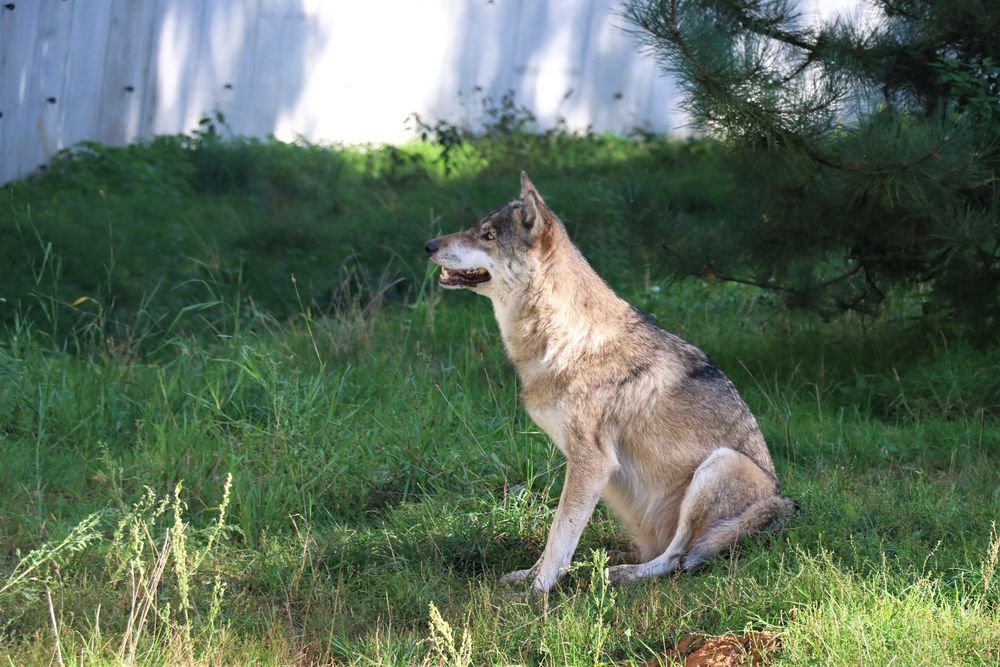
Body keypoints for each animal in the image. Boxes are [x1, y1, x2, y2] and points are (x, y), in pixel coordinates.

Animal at [424, 174, 796, 596]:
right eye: (476, 228)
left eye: (487, 235)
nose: (429, 245)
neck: (566, 338)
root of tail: (780, 503)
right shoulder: (580, 466)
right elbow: (555, 537)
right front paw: (528, 577)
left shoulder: (591, 464)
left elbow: (559, 535)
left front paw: (537, 594)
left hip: (719, 466)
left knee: (676, 559)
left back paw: (624, 574)